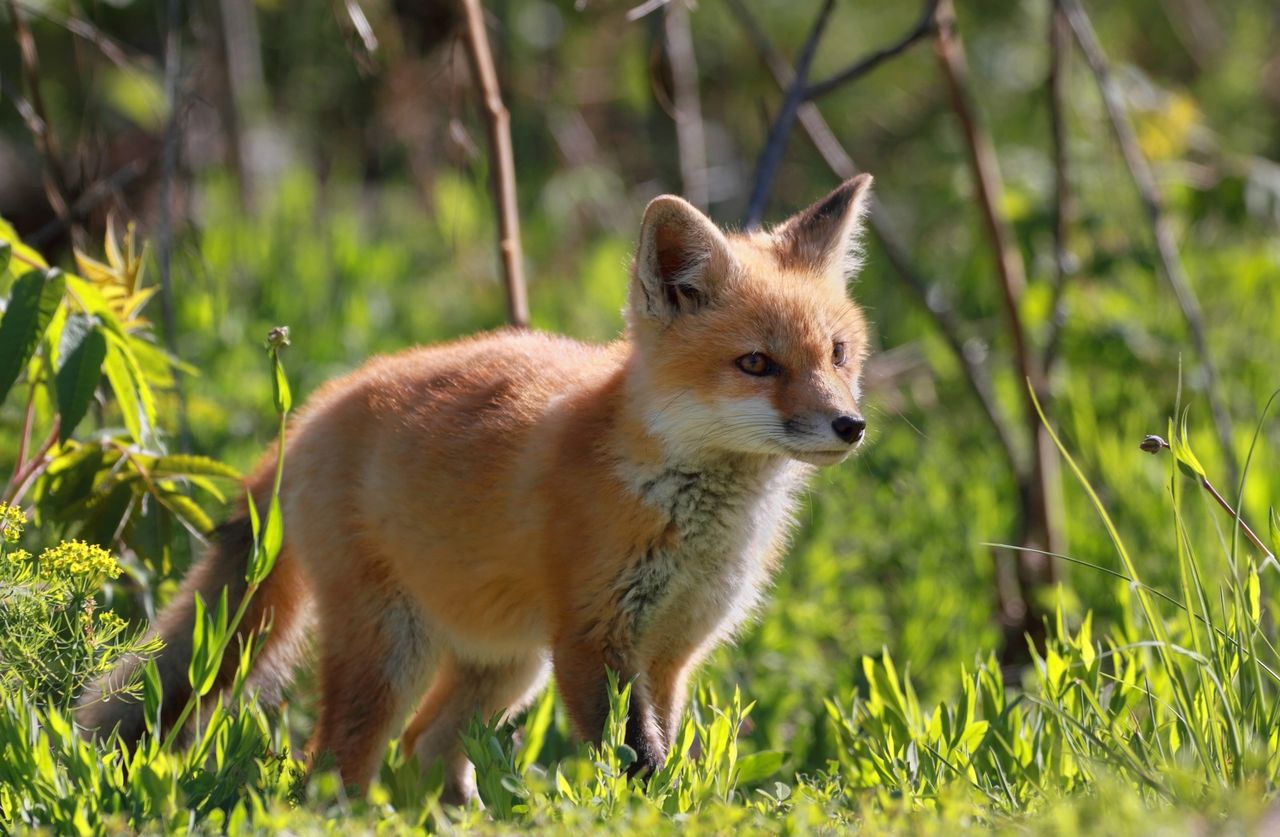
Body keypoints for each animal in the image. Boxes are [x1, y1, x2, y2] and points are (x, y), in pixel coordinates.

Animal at [77, 172, 880, 808]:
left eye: (837, 353)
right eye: (757, 364)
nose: (851, 425)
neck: (691, 515)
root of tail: (311, 413)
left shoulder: (674, 650)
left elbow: (663, 746)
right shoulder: (592, 637)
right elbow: (634, 760)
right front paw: (648, 814)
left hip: (506, 662)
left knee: (425, 746)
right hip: (394, 648)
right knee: (336, 761)